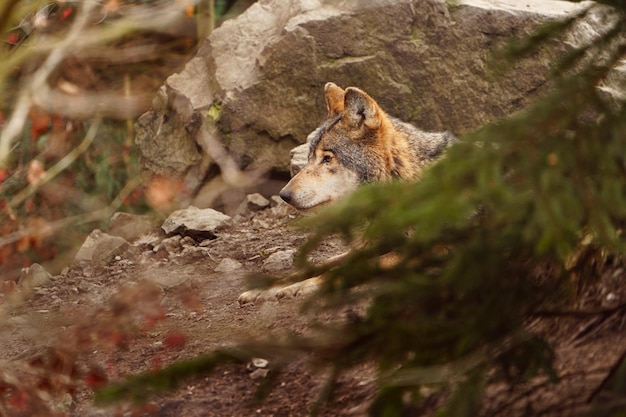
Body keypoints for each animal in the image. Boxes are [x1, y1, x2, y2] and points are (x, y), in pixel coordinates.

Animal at [239, 82, 454, 302]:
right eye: (308, 158)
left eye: (327, 159)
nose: (284, 195)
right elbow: (319, 265)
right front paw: (265, 289)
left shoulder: (434, 248)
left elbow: (347, 269)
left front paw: (303, 286)